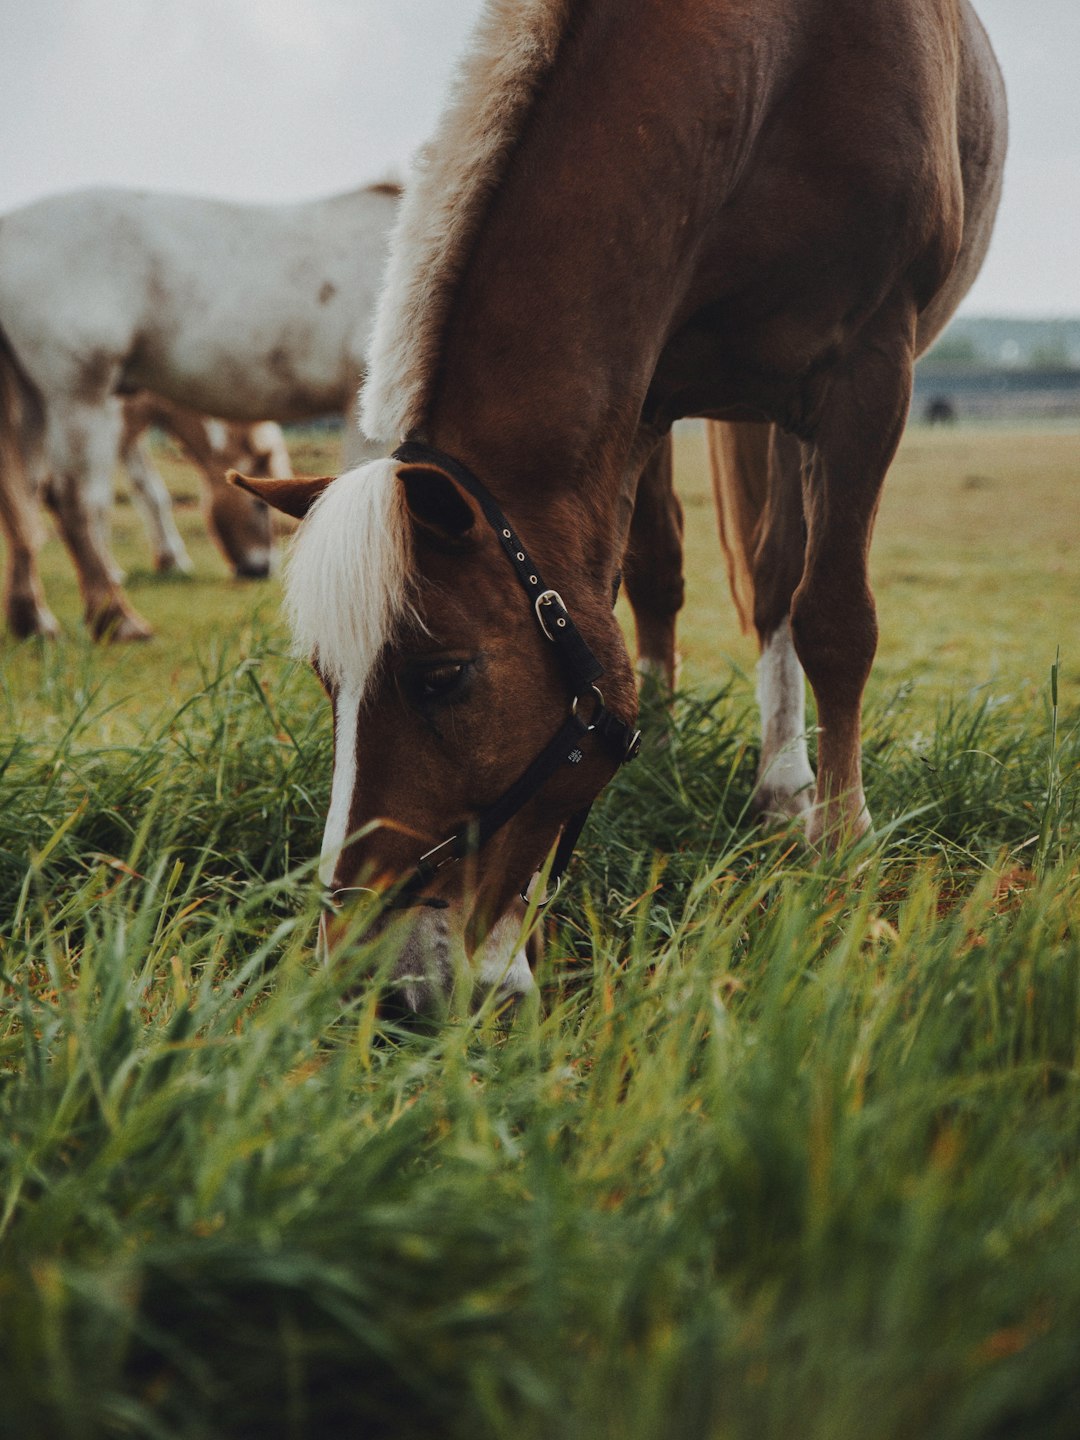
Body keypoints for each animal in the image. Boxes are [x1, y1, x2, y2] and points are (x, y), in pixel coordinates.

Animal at [0, 180, 397, 636]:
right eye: (257, 504)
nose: (258, 571)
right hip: (78, 396)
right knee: (75, 500)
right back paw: (116, 618)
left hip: (34, 401)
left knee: (26, 498)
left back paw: (34, 618)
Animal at [240, 0, 1013, 1008]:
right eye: (327, 682)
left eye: (443, 676)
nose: (375, 983)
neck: (787, 62)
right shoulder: (639, 395)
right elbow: (633, 586)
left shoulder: (869, 374)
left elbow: (837, 620)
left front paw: (843, 847)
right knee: (703, 576)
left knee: (782, 582)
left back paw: (789, 786)